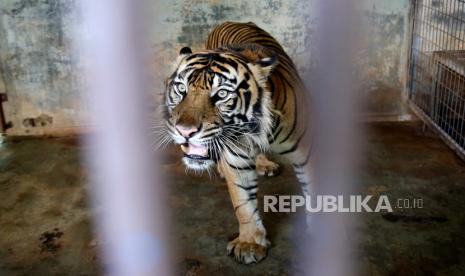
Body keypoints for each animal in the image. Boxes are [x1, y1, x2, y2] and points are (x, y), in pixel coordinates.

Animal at [162, 21, 312, 264]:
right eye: (181, 89)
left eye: (222, 94)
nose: (184, 131)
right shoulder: (237, 160)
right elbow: (244, 203)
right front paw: (250, 243)